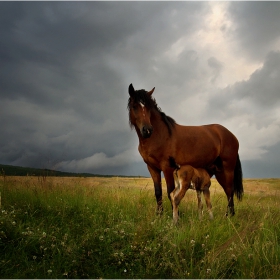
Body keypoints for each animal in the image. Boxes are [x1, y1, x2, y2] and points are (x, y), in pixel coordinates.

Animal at [127, 84, 243, 215]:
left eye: (148, 107)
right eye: (134, 106)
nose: (147, 130)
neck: (159, 135)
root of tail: (231, 135)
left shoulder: (167, 168)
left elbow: (170, 192)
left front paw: (175, 216)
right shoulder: (152, 168)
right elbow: (158, 193)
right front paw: (159, 215)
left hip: (227, 169)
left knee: (229, 191)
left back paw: (229, 216)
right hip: (219, 170)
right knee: (228, 191)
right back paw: (228, 215)